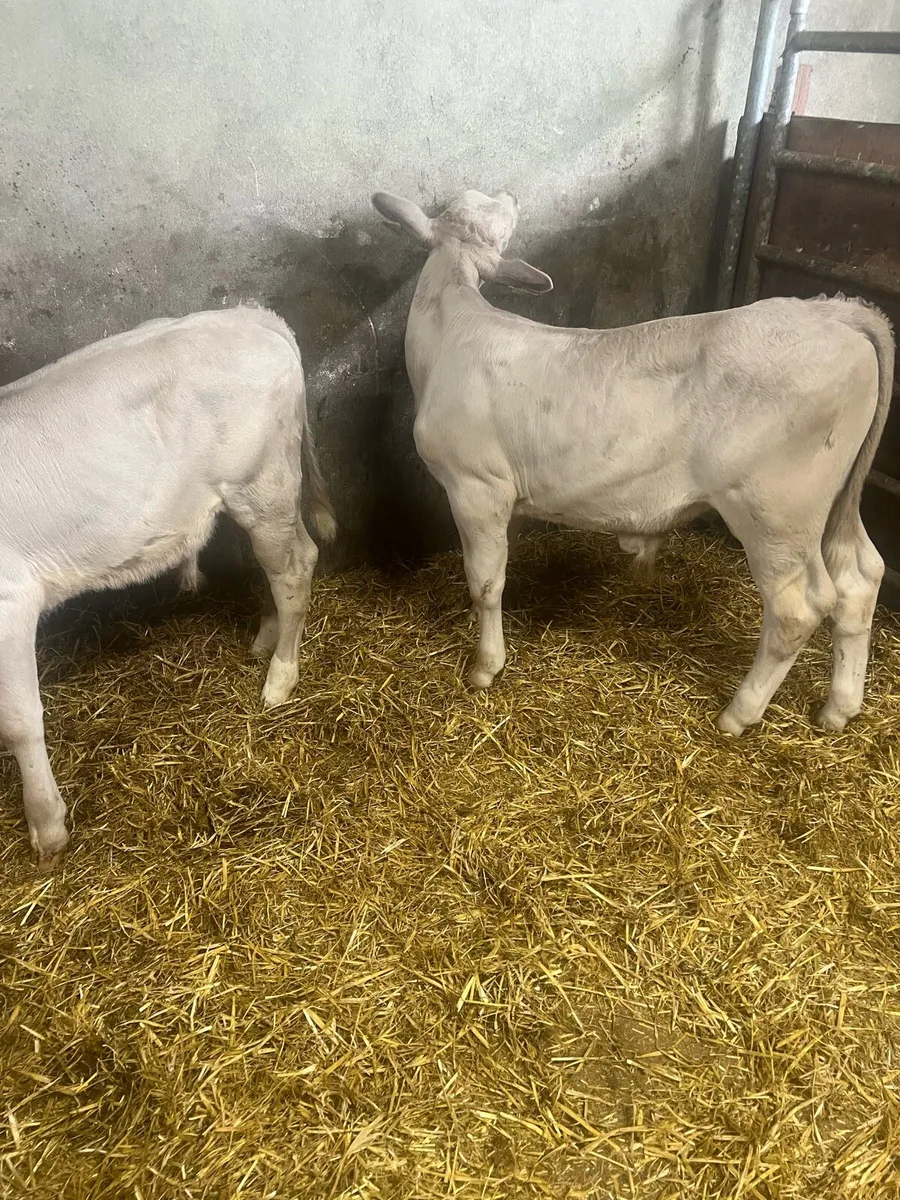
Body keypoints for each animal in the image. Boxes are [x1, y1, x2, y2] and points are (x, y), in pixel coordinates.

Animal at [0, 305, 336, 865]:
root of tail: (252, 315)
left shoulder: (10, 601)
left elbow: (20, 721)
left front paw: (47, 828)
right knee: (276, 565)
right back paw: (265, 638)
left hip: (262, 485)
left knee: (294, 568)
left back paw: (280, 677)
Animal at [372, 188, 894, 737]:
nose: (512, 195)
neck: (452, 332)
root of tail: (834, 313)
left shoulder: (476, 486)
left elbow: (486, 583)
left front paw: (485, 667)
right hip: (832, 501)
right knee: (861, 577)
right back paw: (838, 708)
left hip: (775, 510)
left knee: (798, 609)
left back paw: (739, 713)